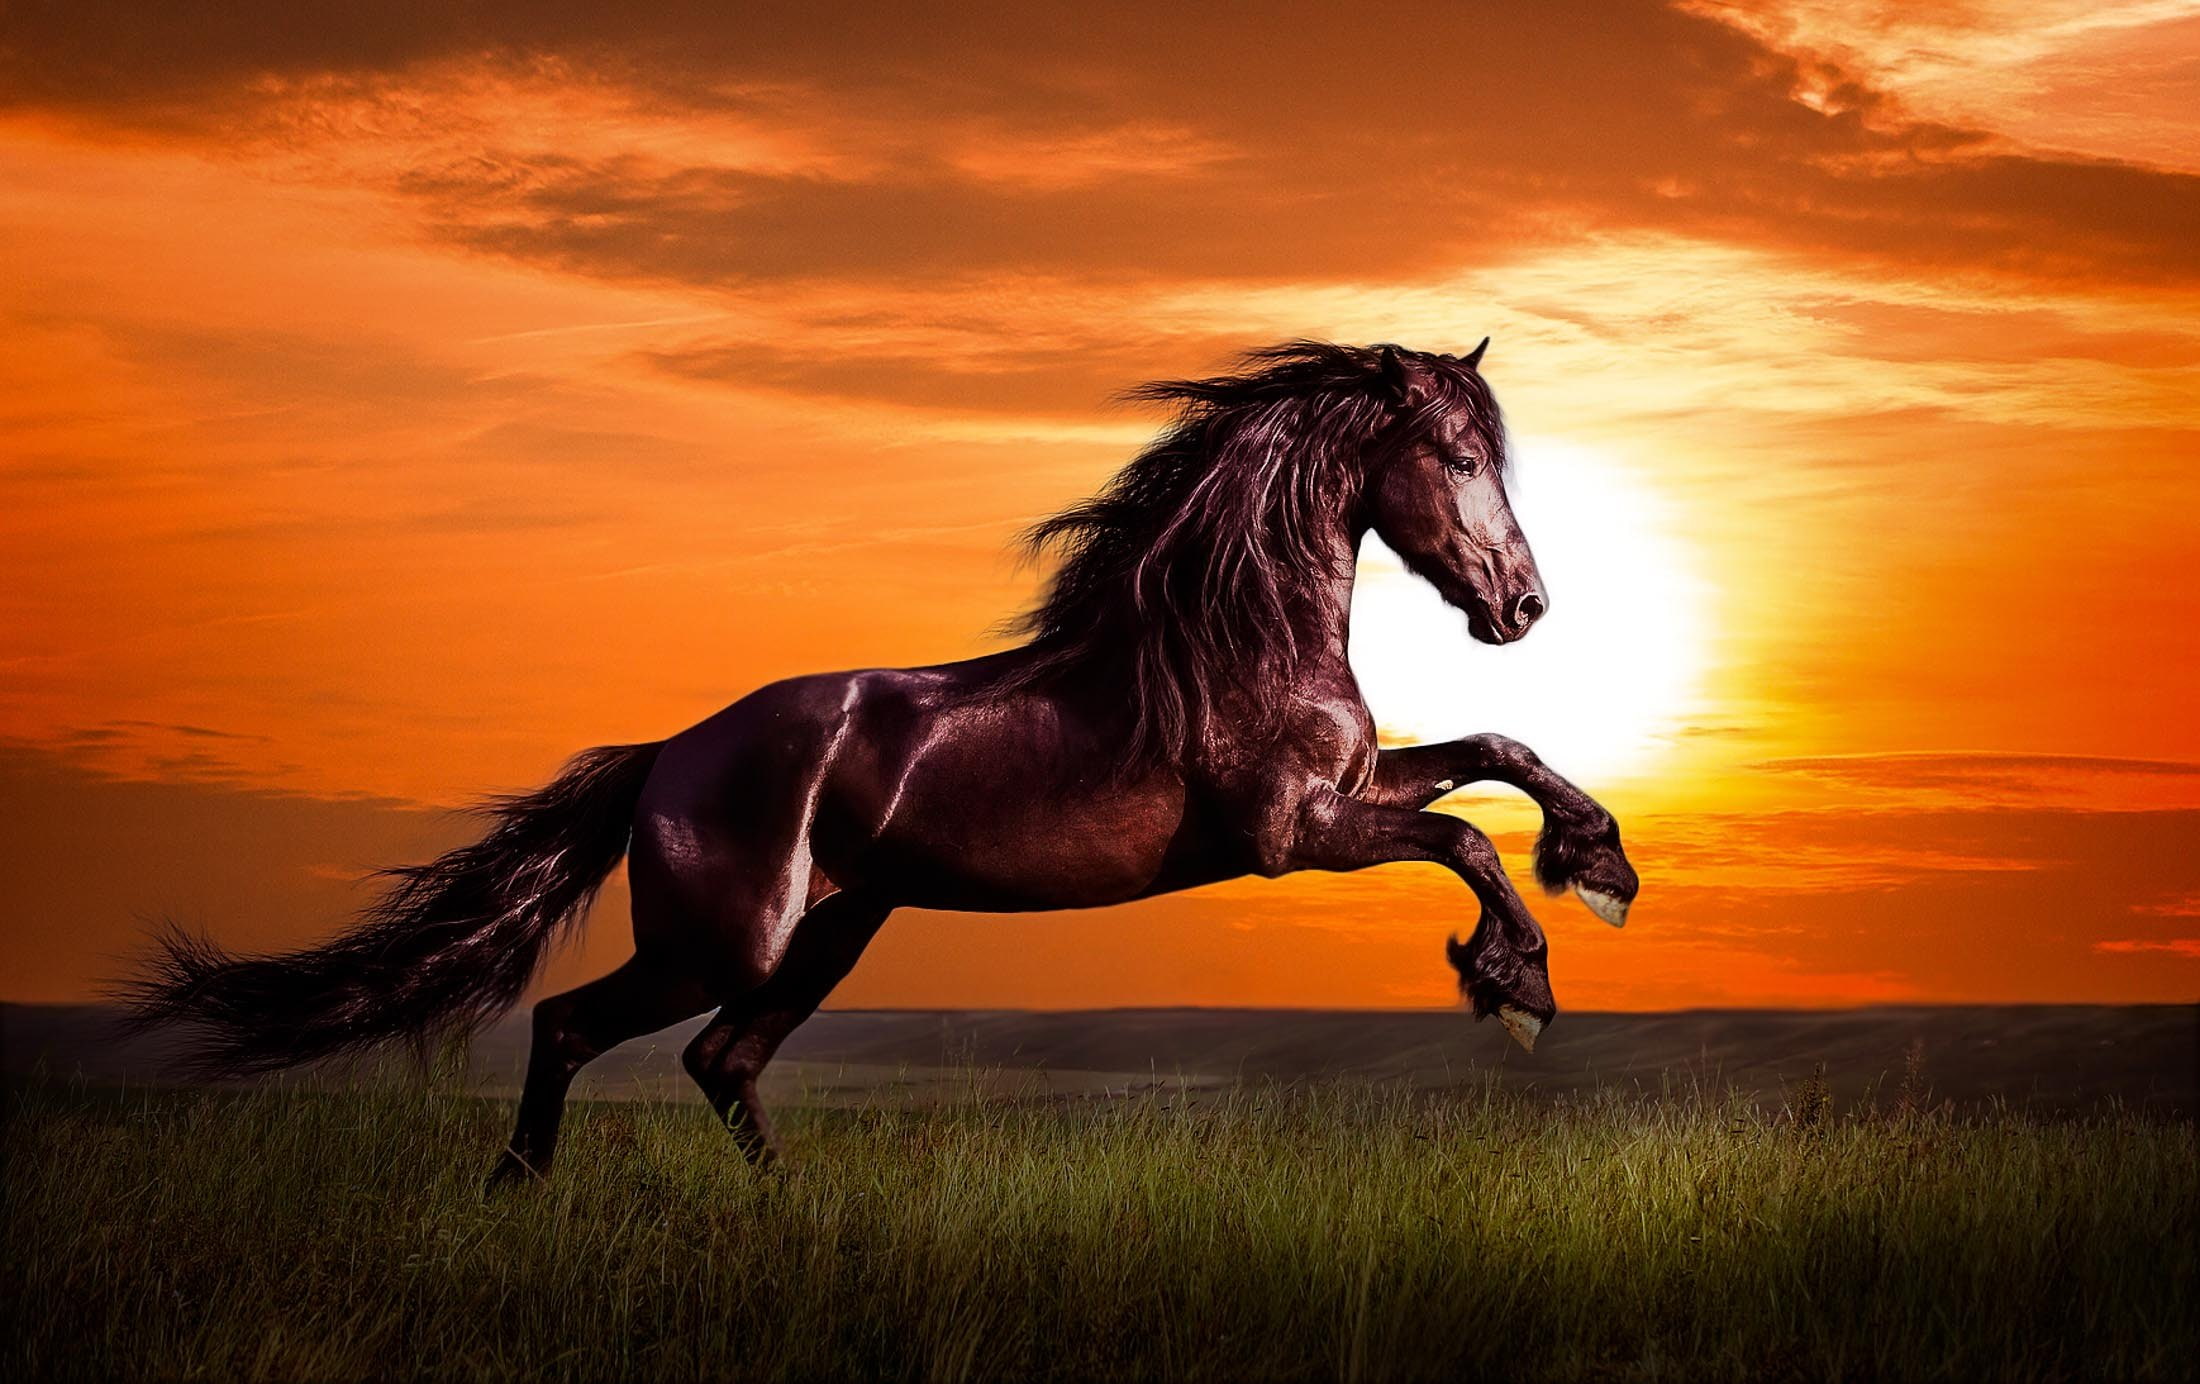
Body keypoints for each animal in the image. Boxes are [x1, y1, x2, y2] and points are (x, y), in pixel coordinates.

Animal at [123, 340, 1639, 1182]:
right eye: (1455, 457)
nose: (1521, 606)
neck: (1230, 638)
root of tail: (665, 756)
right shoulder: (1291, 834)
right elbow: (1463, 833)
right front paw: (1517, 982)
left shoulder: (1347, 793)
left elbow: (1496, 751)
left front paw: (1601, 866)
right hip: (723, 939)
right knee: (573, 1026)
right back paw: (516, 1195)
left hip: (836, 929)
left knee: (721, 1061)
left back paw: (790, 1221)